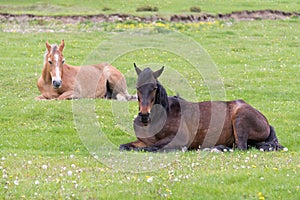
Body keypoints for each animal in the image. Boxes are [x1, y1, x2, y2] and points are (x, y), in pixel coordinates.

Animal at [119, 63, 284, 152]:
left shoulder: (177, 139)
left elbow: (151, 147)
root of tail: (265, 120)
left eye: (154, 88)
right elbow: (126, 146)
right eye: (137, 87)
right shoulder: (142, 141)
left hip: (240, 120)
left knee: (240, 147)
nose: (144, 115)